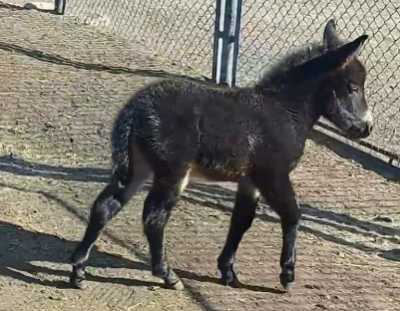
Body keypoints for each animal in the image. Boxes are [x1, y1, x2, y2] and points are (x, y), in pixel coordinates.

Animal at [69, 20, 372, 292]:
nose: (367, 128)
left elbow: (241, 220)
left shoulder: (250, 179)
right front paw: (287, 275)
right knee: (154, 218)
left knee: (105, 206)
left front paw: (228, 272)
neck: (284, 110)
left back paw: (78, 270)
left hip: (139, 167)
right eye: (352, 87)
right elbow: (292, 214)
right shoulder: (272, 174)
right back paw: (167, 275)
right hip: (173, 172)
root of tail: (135, 109)